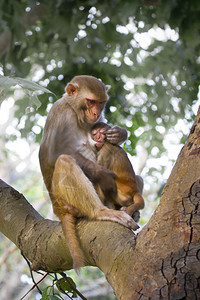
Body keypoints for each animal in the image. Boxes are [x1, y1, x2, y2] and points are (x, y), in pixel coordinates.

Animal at [39, 75, 139, 272]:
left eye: (101, 103)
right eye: (91, 101)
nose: (95, 113)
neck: (75, 112)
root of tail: (58, 209)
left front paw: (119, 133)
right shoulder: (60, 114)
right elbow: (54, 152)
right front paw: (104, 175)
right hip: (66, 201)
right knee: (64, 160)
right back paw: (101, 212)